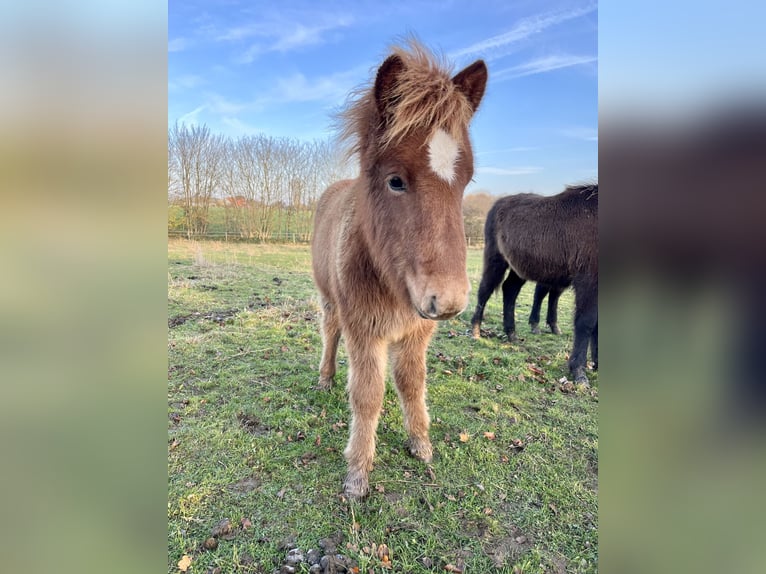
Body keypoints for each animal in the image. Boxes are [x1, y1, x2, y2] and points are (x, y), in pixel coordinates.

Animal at [310, 40, 487, 499]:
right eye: (395, 181)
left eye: (466, 180)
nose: (449, 301)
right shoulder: (363, 328)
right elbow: (367, 395)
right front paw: (358, 473)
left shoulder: (416, 331)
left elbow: (411, 382)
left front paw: (419, 443)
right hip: (330, 300)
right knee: (329, 330)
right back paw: (325, 377)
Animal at [470, 185, 598, 383]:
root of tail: (498, 204)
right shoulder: (588, 281)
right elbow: (586, 323)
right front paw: (579, 372)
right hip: (495, 260)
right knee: (485, 291)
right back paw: (475, 330)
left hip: (519, 269)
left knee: (510, 290)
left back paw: (512, 334)